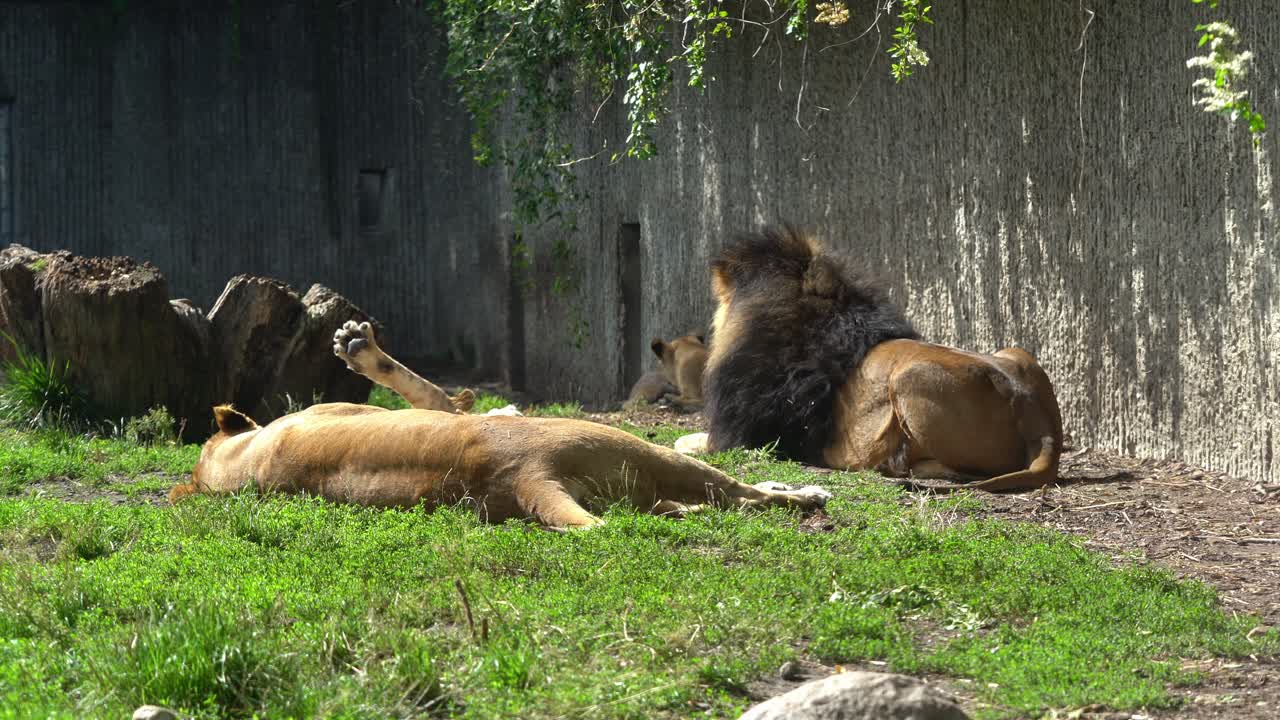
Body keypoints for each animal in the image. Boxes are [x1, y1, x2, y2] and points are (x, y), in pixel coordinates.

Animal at [167, 321, 831, 529]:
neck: (245, 459)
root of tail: (525, 476)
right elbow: (448, 398)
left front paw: (358, 347)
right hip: (639, 450)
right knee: (741, 494)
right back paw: (803, 494)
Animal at [674, 226, 1064, 493]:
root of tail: (1033, 412)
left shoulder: (740, 439)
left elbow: (684, 441)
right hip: (1015, 352)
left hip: (910, 377)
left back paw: (898, 465)